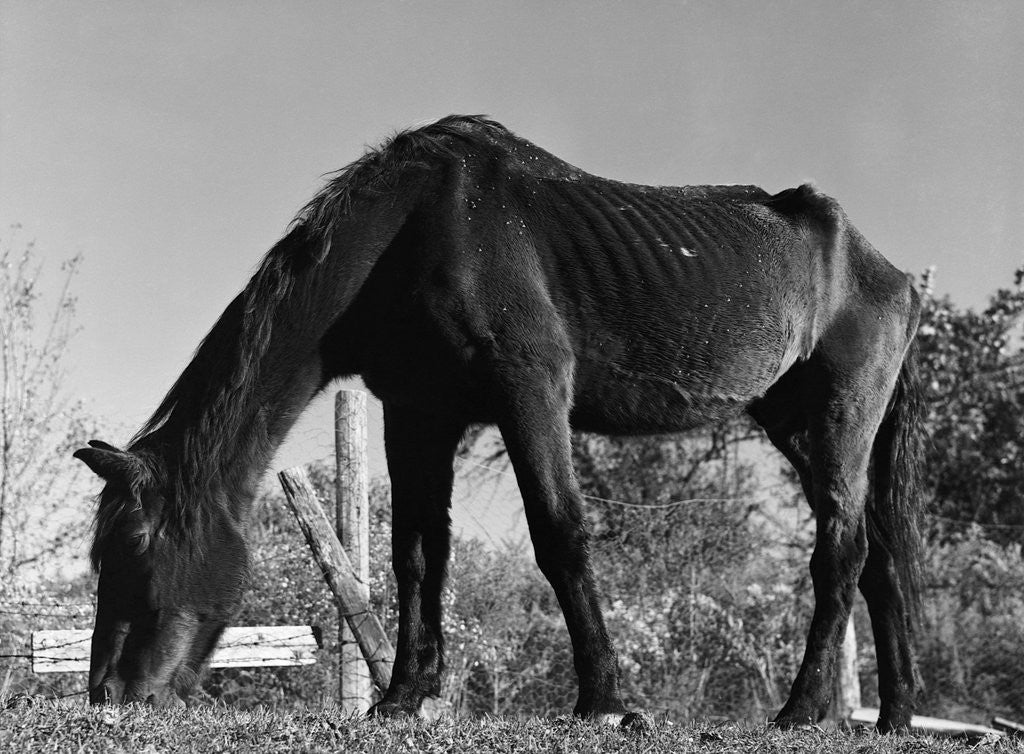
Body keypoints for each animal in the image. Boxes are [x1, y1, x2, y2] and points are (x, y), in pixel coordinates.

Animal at [75, 115, 923, 731]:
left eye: (135, 549)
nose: (109, 696)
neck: (417, 229)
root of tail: (893, 273)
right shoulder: (417, 413)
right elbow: (419, 555)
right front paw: (403, 698)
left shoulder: (530, 391)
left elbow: (560, 535)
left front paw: (607, 702)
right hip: (804, 430)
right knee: (878, 562)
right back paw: (895, 717)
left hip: (839, 426)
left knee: (840, 557)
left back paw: (802, 711)